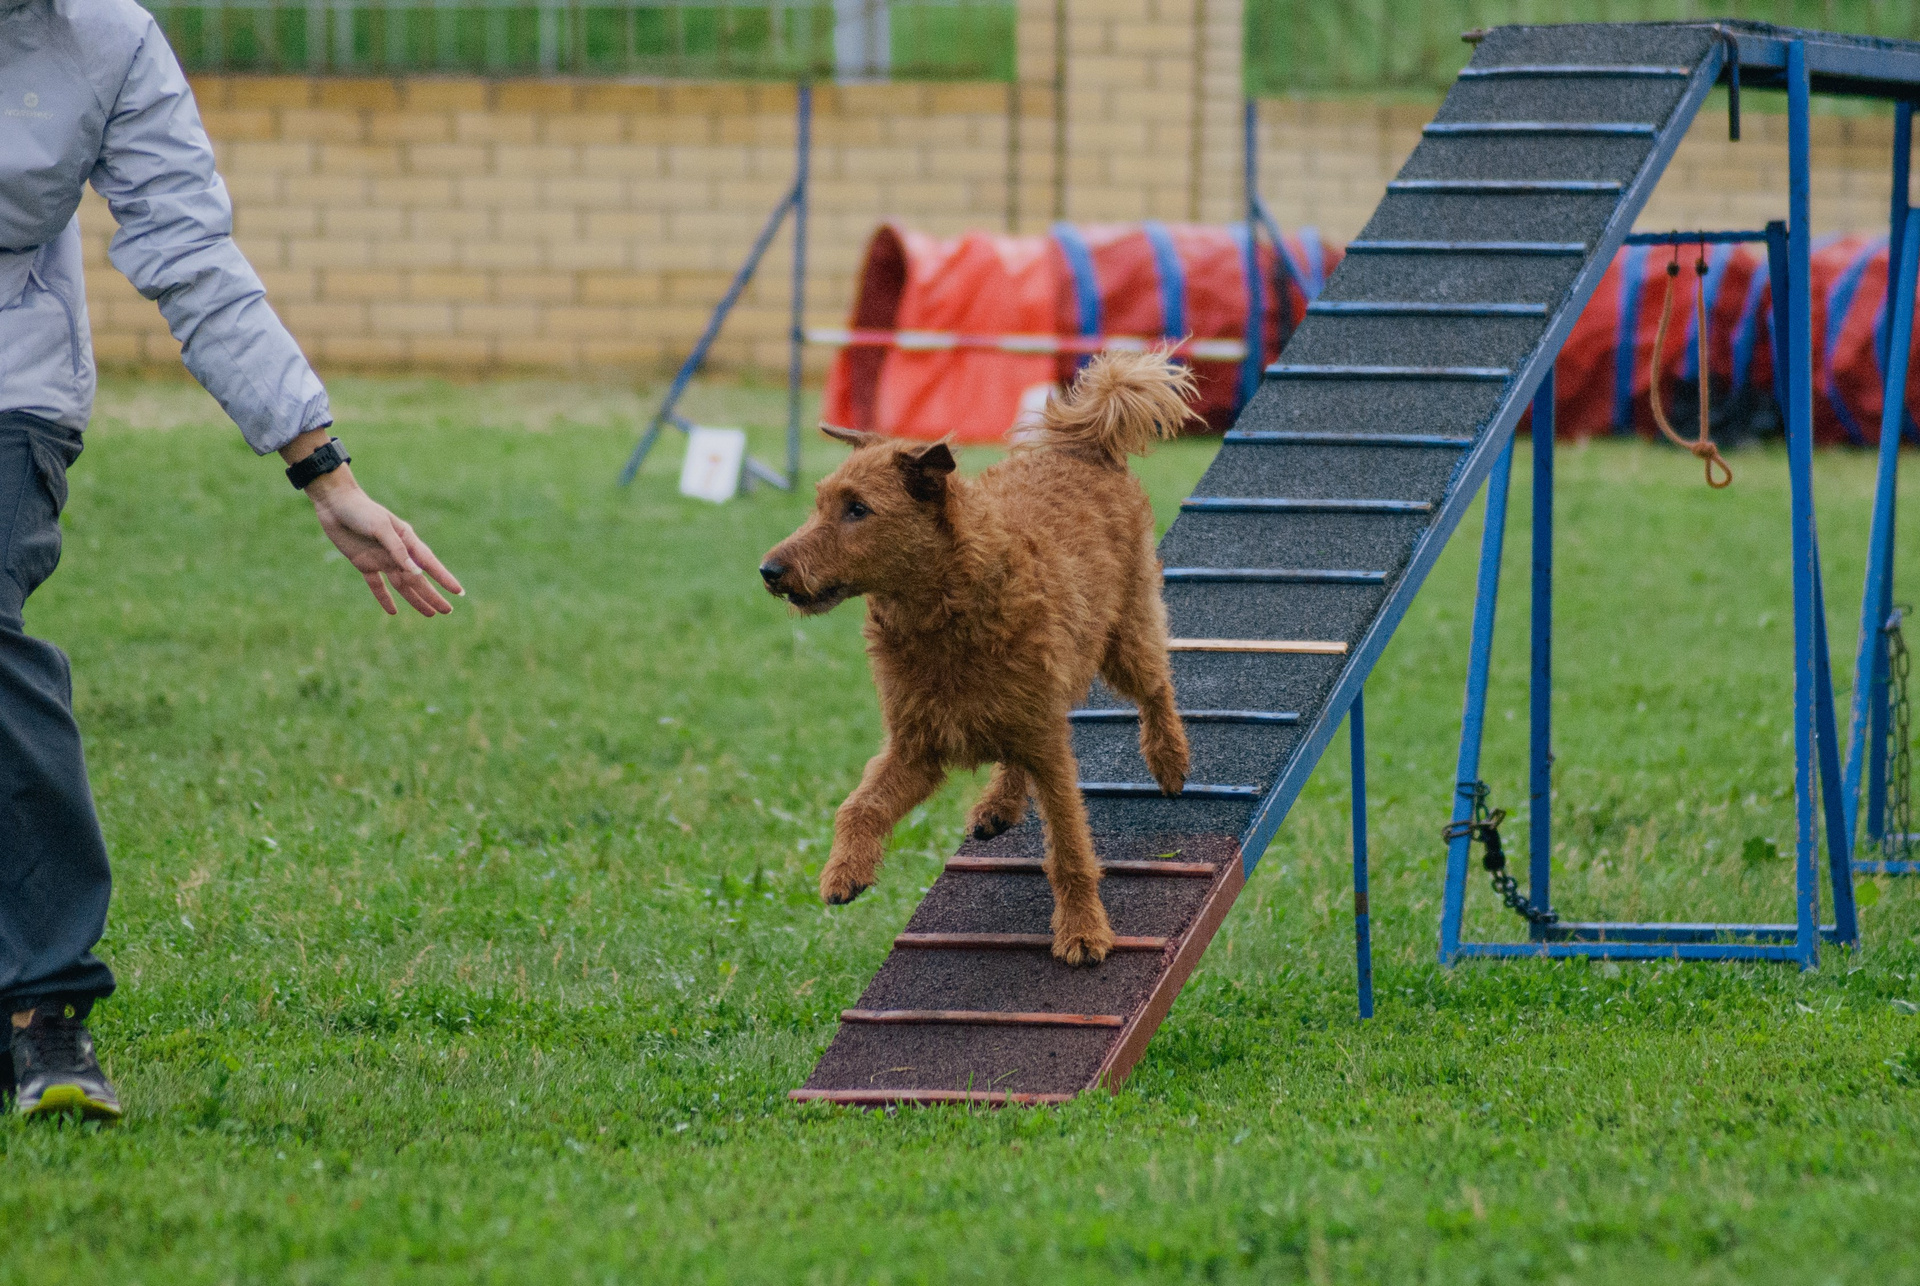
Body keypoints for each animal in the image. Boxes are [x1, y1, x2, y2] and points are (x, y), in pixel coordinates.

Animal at [759, 350, 1194, 964]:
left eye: (858, 509)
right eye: (821, 504)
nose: (769, 571)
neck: (943, 613)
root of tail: (1082, 447)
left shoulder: (1048, 748)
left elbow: (1069, 847)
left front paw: (1083, 931)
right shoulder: (916, 746)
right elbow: (859, 806)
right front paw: (844, 872)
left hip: (1123, 640)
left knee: (1157, 686)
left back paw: (1169, 760)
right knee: (1014, 757)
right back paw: (998, 805)